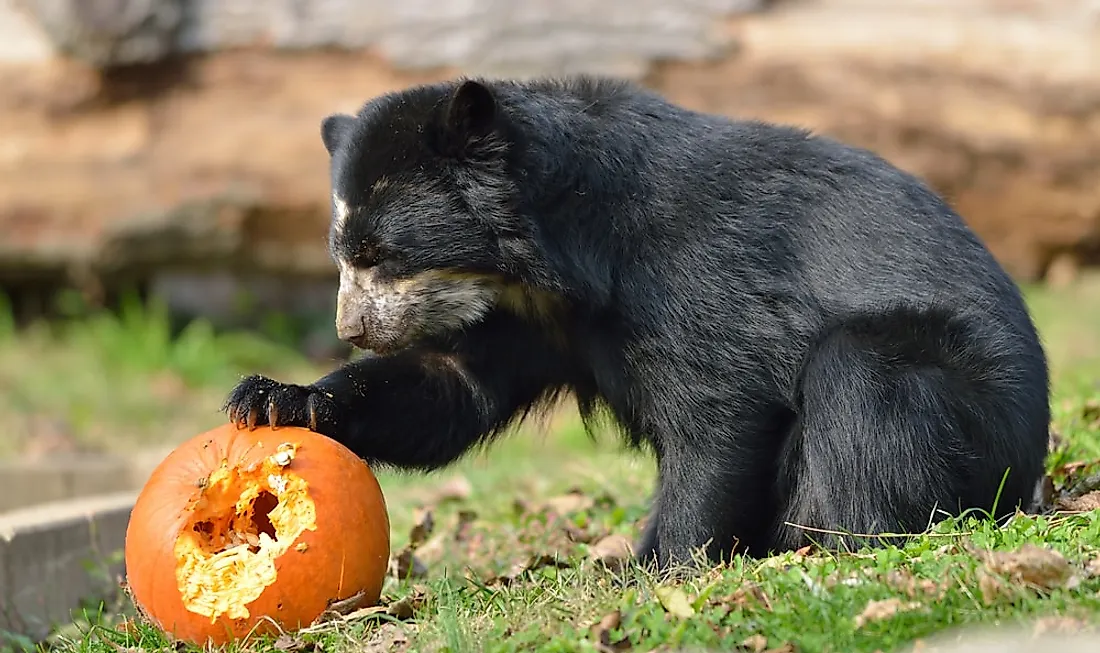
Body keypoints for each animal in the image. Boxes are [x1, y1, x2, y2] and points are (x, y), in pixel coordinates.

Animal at [221, 73, 1047, 567]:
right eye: (342, 255)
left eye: (381, 252)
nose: (353, 329)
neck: (553, 263)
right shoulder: (524, 318)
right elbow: (450, 385)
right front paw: (279, 399)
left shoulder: (687, 275)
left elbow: (718, 412)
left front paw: (654, 566)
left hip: (970, 412)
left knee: (861, 374)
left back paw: (840, 542)